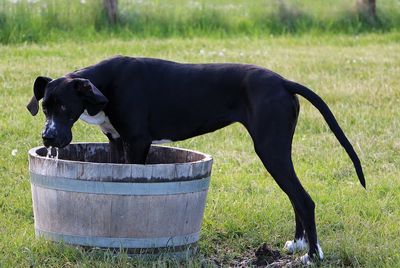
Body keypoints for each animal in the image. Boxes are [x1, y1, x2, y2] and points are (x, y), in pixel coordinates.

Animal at [27, 56, 366, 264]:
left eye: (64, 107)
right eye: (44, 107)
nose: (48, 138)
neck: (105, 86)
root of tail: (283, 81)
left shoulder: (137, 142)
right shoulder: (116, 143)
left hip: (271, 149)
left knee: (304, 199)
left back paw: (312, 256)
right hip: (279, 150)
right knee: (296, 196)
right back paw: (298, 244)